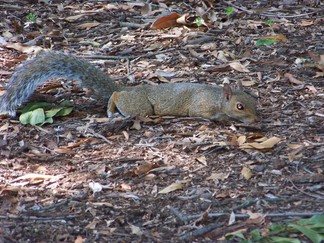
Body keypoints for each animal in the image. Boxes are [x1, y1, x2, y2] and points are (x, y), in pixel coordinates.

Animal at [0, 51, 260, 123]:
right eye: (239, 106)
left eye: (253, 99)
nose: (257, 120)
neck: (217, 98)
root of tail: (127, 90)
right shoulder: (201, 107)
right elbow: (204, 115)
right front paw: (225, 118)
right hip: (140, 107)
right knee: (117, 96)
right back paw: (112, 109)